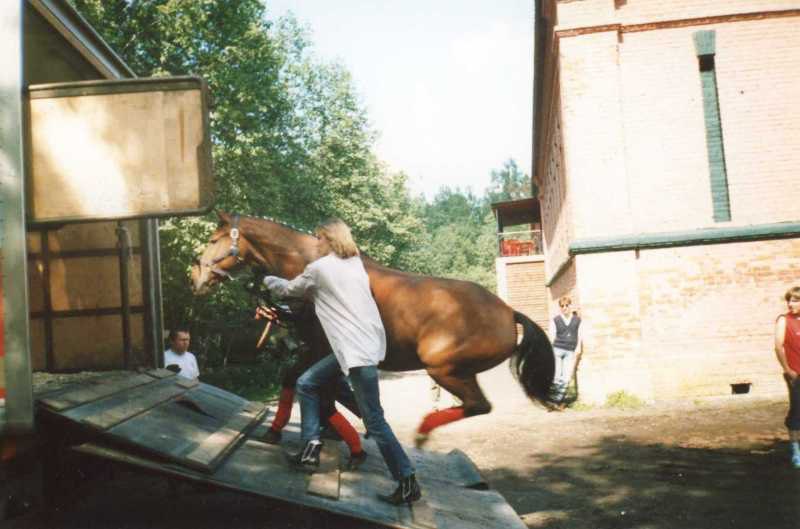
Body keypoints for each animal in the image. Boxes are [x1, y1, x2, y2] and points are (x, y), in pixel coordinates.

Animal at [192, 210, 556, 446]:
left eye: (212, 239)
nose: (196, 277)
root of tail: (508, 313)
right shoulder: (319, 353)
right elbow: (298, 384)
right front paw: (278, 431)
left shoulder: (320, 349)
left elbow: (308, 387)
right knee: (476, 405)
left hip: (442, 368)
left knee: (478, 405)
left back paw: (422, 431)